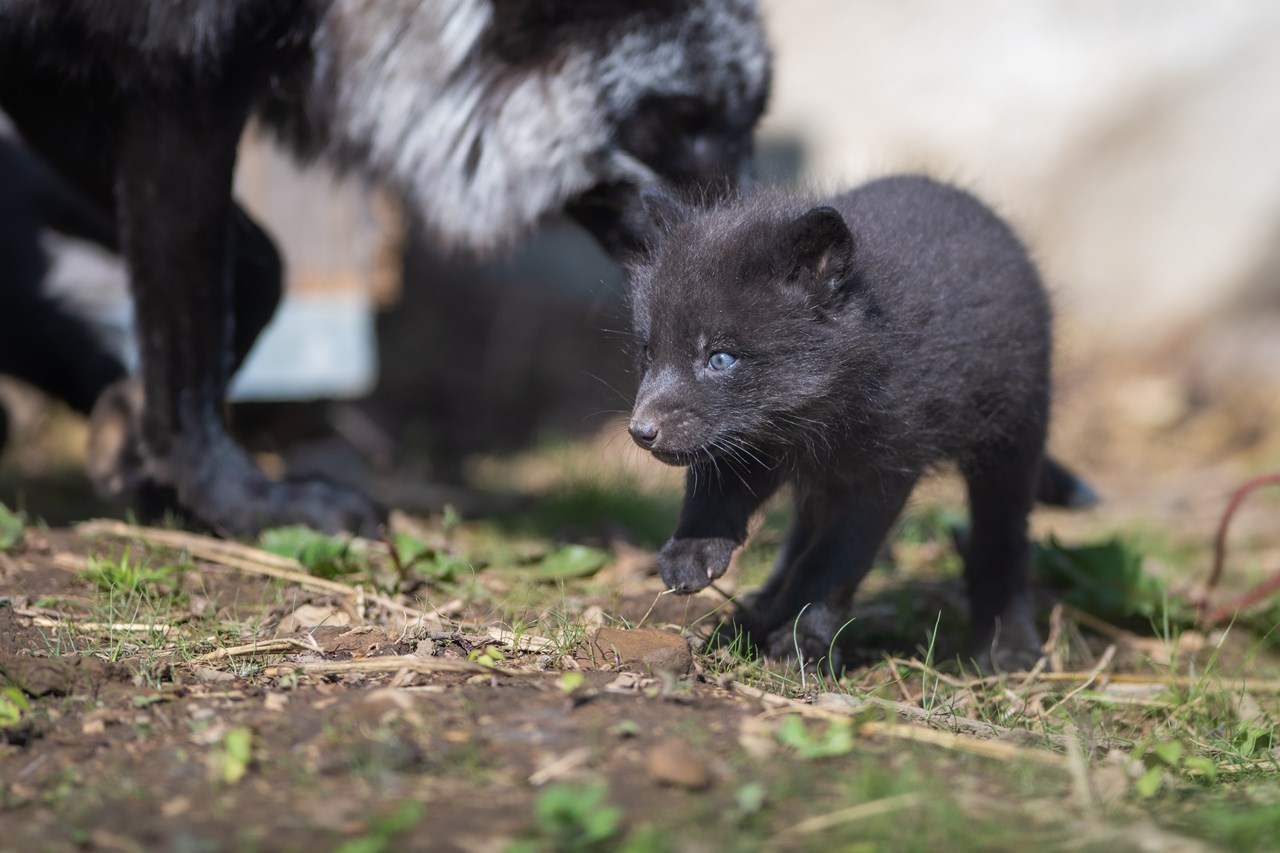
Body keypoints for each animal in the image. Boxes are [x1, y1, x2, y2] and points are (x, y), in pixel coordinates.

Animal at [0, 0, 771, 534]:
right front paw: (244, 503)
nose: (758, 246)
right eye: (685, 120)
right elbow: (189, 346)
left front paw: (134, 431)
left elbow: (258, 268)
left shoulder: (64, 76)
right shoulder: (176, 75)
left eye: (750, 122)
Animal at [627, 176, 1095, 673]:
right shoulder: (751, 439)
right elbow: (715, 493)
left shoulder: (882, 473)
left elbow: (833, 561)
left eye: (720, 359)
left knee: (1003, 540)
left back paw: (1009, 646)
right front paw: (693, 551)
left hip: (1012, 438)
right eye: (648, 352)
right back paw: (764, 603)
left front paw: (800, 639)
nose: (641, 432)